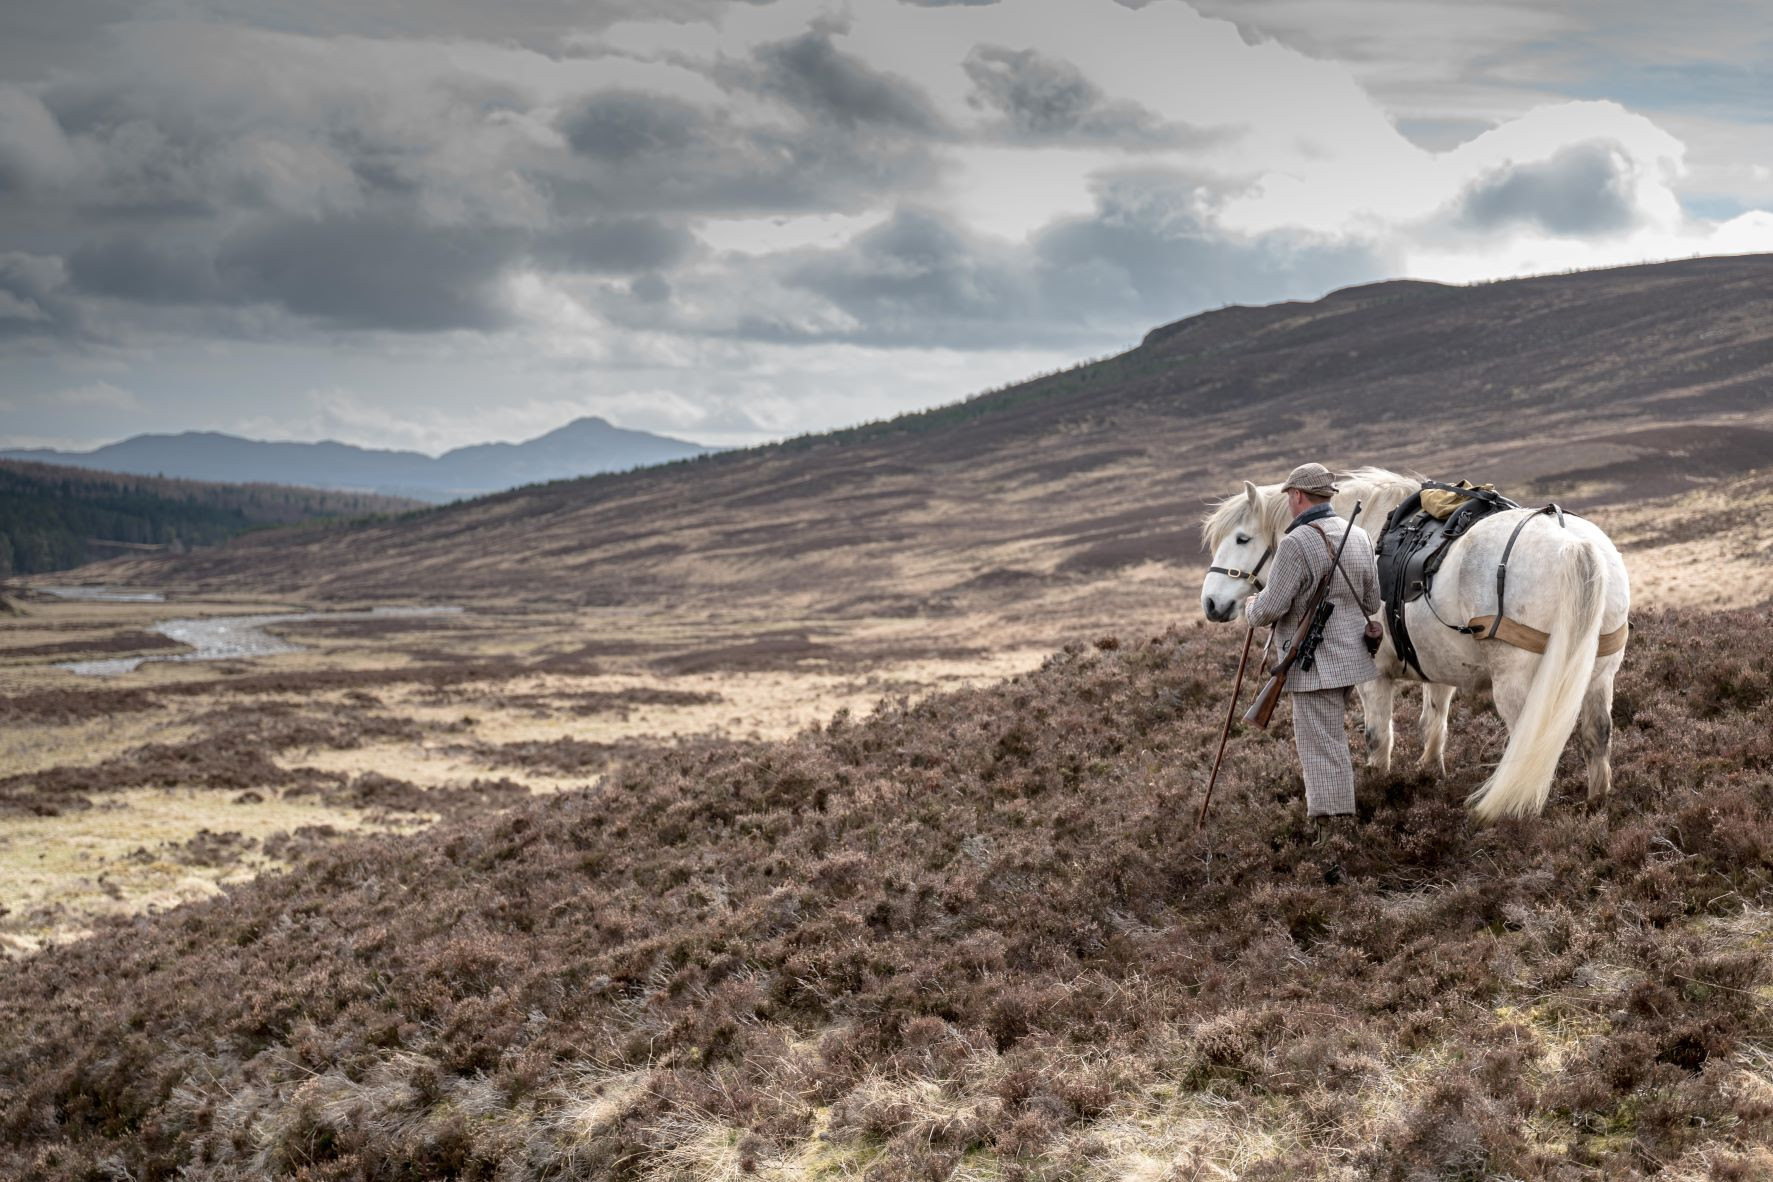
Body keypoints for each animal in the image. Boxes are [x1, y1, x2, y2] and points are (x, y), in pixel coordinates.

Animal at [1198, 467, 1624, 818]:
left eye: (1242, 538)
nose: (1212, 603)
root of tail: (1574, 545)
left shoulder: (1373, 675)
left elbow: (1377, 736)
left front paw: (1378, 786)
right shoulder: (1439, 664)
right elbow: (1433, 722)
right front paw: (1429, 773)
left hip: (1518, 683)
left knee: (1528, 743)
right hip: (1599, 676)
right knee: (1597, 734)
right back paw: (1597, 802)